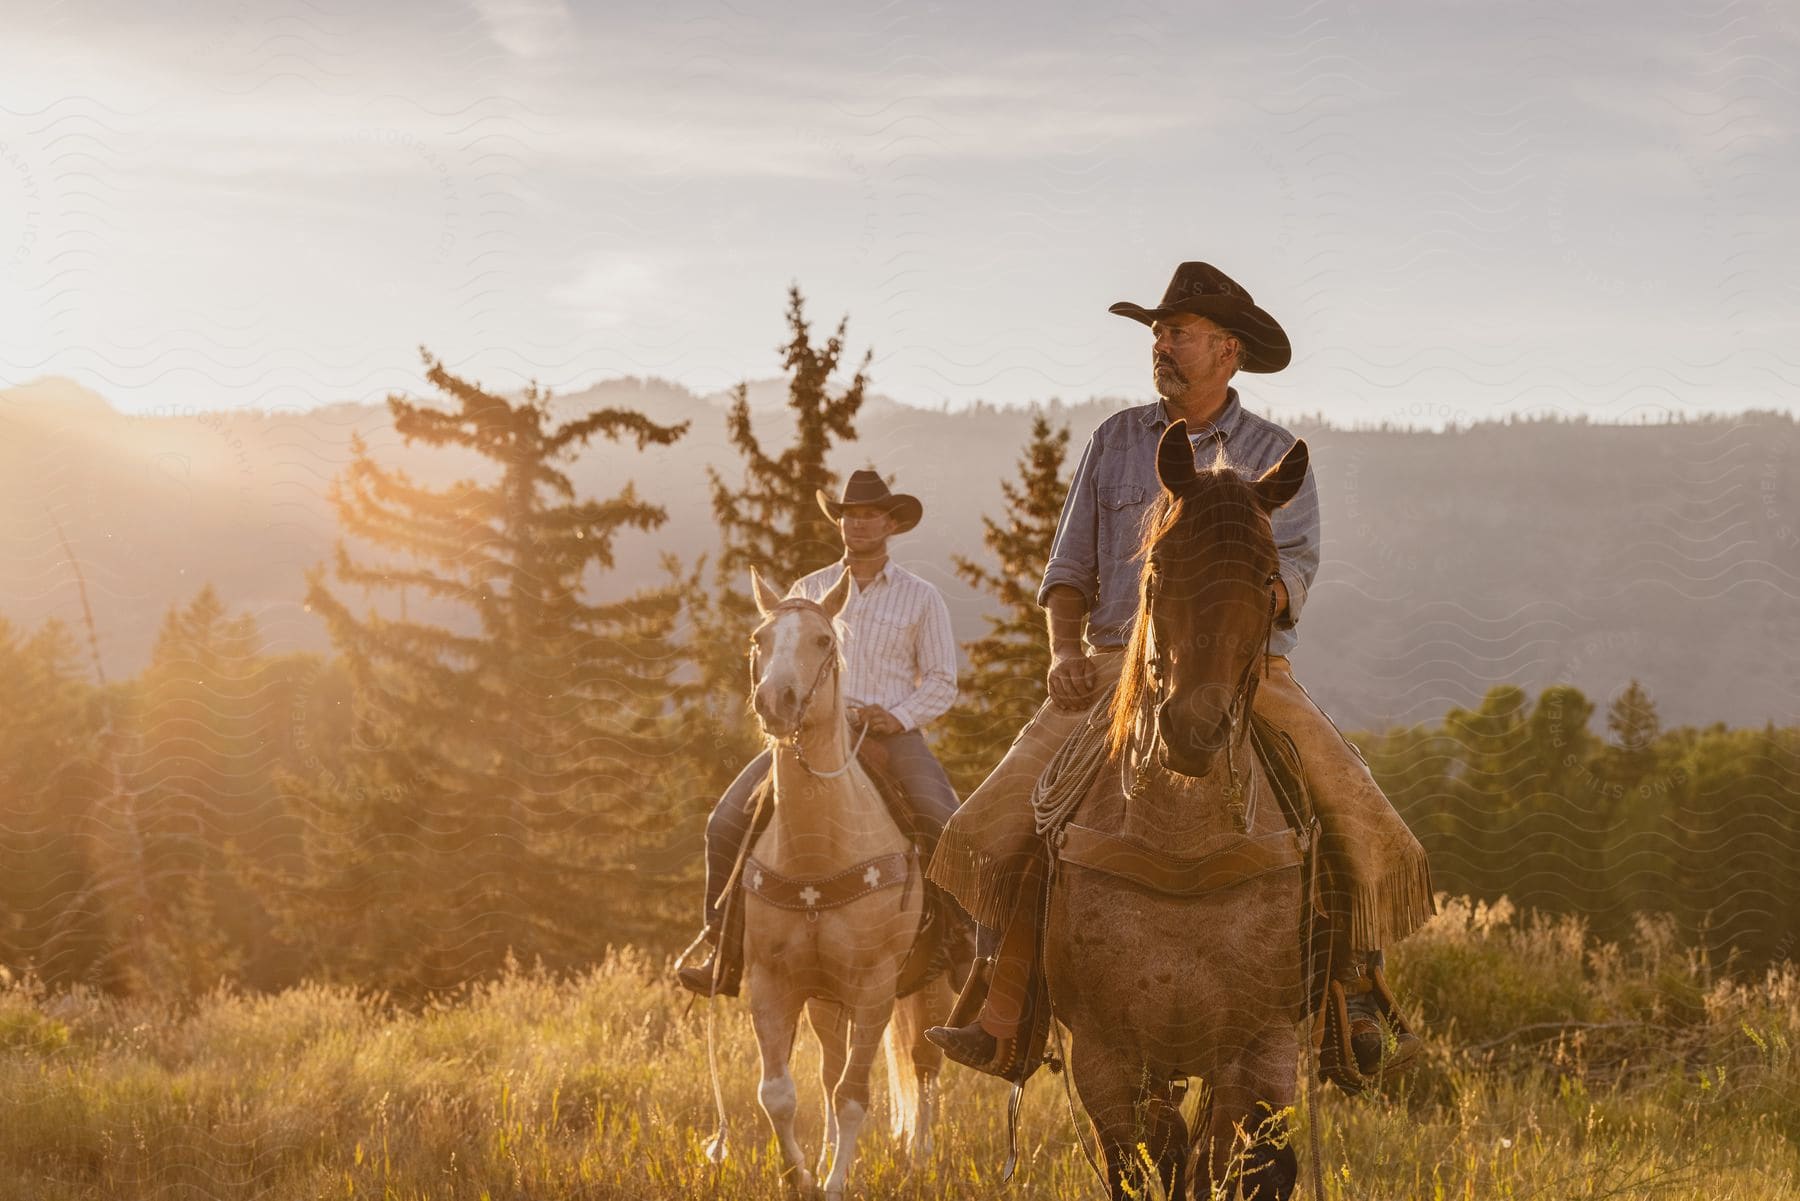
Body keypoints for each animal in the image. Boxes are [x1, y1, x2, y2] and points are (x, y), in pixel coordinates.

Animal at [734, 568, 950, 1195]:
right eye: (760, 638)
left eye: (822, 641)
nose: (775, 702)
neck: (816, 855)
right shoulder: (771, 983)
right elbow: (780, 1094)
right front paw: (800, 1177)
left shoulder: (875, 986)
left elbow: (856, 1096)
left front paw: (834, 1185)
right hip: (826, 1002)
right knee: (831, 1071)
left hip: (931, 987)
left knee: (924, 1066)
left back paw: (920, 1156)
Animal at [1044, 423, 1310, 1201]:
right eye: (1159, 566)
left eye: (1267, 578)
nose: (1194, 729)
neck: (1179, 843)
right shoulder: (1105, 1056)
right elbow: (1144, 1163)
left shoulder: (1255, 1050)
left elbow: (1229, 1166)